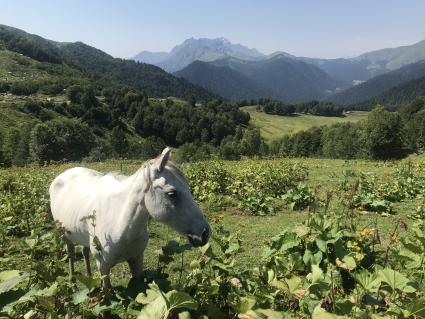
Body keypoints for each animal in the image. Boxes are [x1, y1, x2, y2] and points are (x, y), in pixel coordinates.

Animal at [49, 149, 210, 288]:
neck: (122, 224)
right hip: (65, 235)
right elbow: (107, 291)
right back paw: (72, 281)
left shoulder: (137, 261)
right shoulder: (103, 267)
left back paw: (89, 278)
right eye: (172, 194)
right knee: (70, 253)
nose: (205, 233)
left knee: (85, 251)